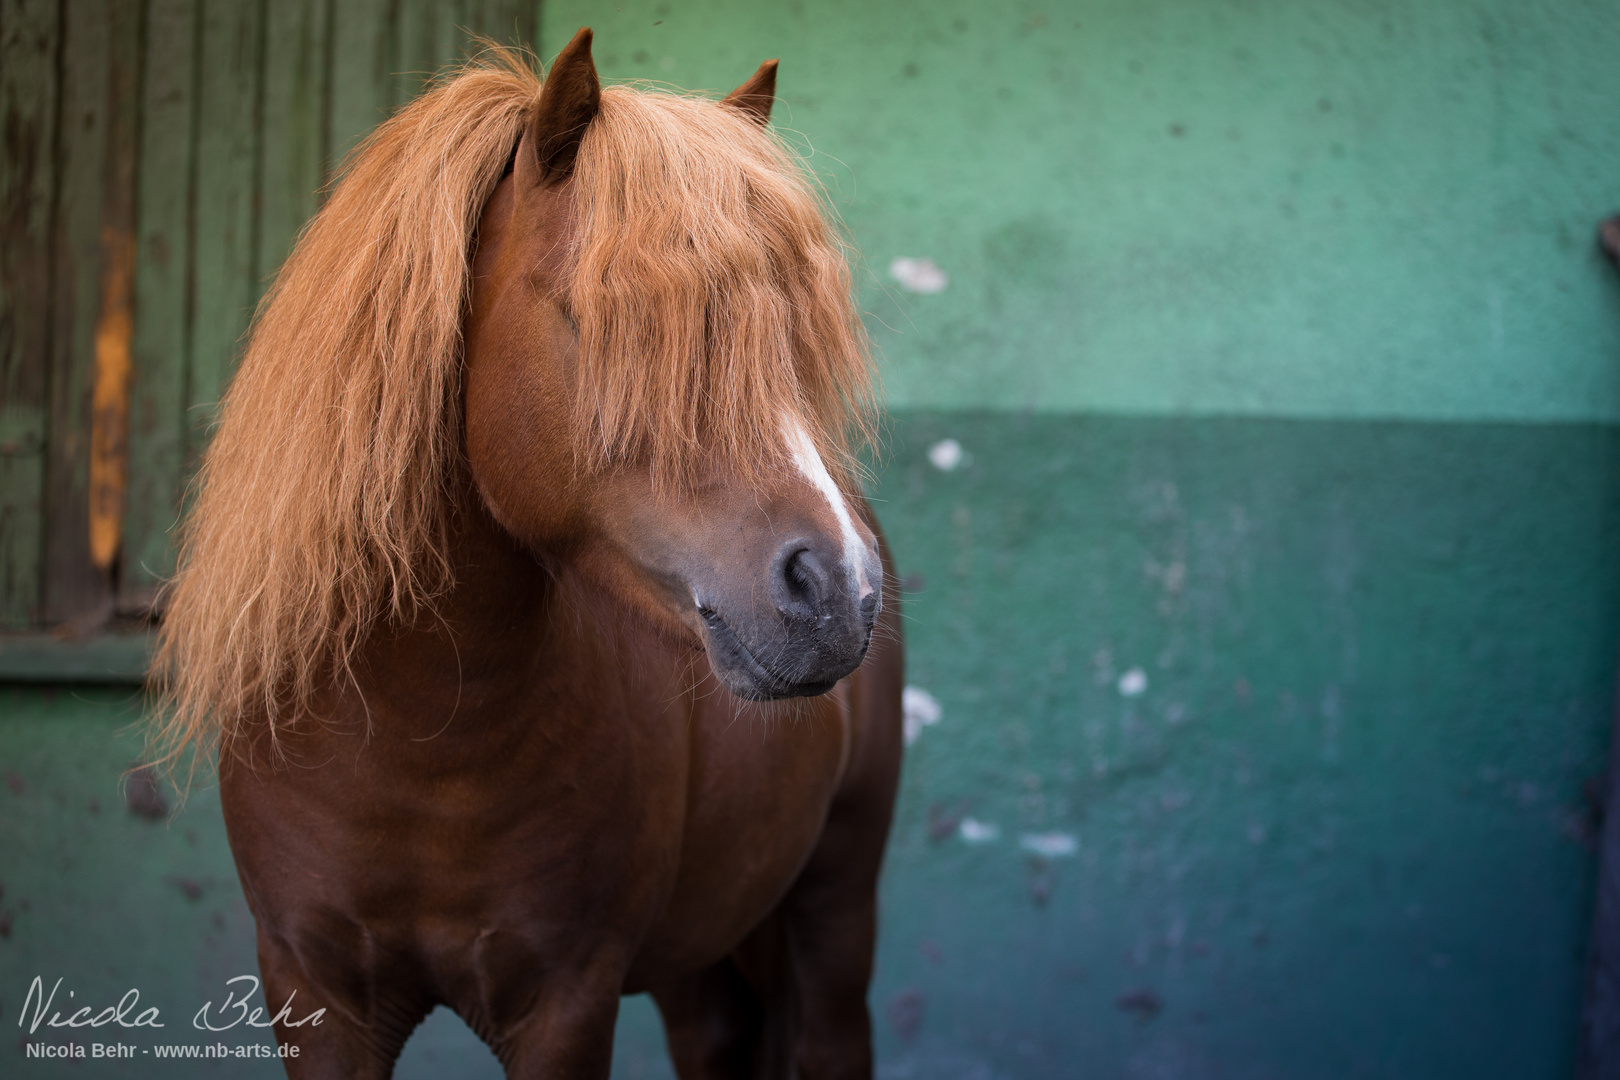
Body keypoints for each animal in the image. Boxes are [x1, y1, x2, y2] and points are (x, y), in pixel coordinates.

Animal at [154, 29, 900, 1075]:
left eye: (794, 337)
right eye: (613, 318)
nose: (838, 591)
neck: (418, 735)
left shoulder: (565, 1006)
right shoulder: (315, 996)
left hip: (836, 915)